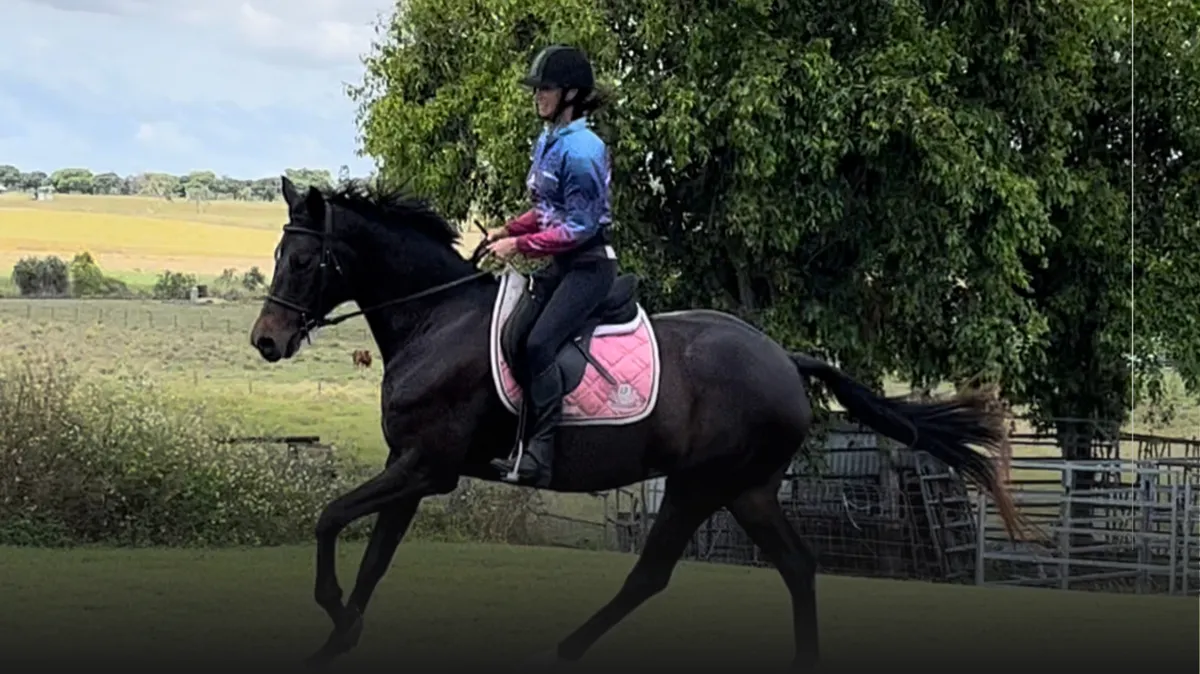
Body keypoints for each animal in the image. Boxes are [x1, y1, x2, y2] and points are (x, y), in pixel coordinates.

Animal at [249, 176, 1022, 670]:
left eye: (307, 258)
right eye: (279, 255)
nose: (266, 341)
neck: (436, 319)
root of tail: (783, 356)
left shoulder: (425, 468)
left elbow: (329, 519)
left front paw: (332, 612)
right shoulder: (408, 469)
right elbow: (375, 556)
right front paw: (339, 638)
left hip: (698, 485)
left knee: (651, 574)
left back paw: (561, 651)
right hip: (748, 489)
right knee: (797, 567)